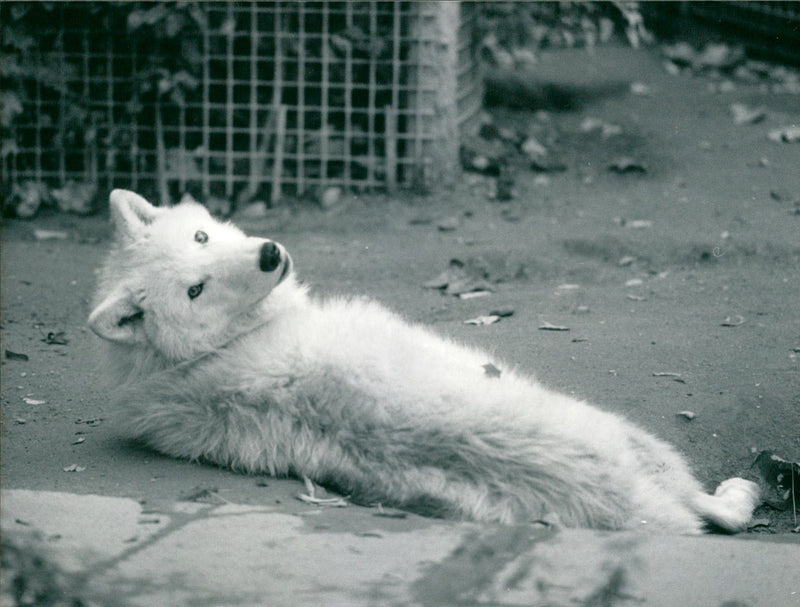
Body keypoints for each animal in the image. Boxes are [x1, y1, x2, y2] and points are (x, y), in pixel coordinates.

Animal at [88, 189, 760, 533]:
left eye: (201, 240)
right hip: (630, 436)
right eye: (195, 291)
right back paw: (742, 491)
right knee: (717, 514)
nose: (270, 256)